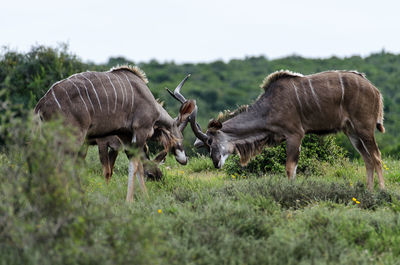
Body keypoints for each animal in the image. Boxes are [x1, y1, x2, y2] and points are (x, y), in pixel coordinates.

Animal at [34, 66, 195, 200]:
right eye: (180, 137)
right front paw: (130, 201)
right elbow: (134, 166)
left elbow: (137, 166)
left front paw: (145, 198)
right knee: (60, 166)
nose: (184, 159)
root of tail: (42, 104)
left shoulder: (126, 138)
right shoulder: (139, 131)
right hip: (72, 140)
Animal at [192, 70, 386, 190]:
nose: (216, 162)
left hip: (364, 128)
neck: (269, 107)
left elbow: (290, 168)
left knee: (376, 156)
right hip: (352, 132)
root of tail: (375, 90)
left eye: (211, 141)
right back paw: (368, 191)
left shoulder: (295, 134)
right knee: (367, 159)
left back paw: (382, 192)